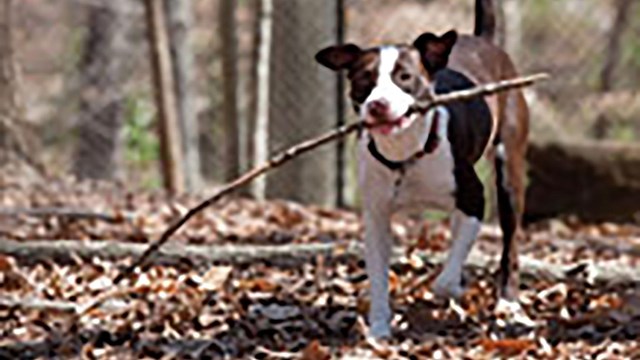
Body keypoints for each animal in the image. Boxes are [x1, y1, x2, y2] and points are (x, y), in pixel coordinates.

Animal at [316, 0, 528, 338]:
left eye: (405, 77)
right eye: (363, 80)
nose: (378, 104)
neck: (406, 154)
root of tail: (484, 42)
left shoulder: (474, 199)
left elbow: (444, 282)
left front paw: (456, 288)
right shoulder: (376, 219)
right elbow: (378, 278)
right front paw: (379, 329)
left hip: (509, 173)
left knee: (510, 244)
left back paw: (508, 302)